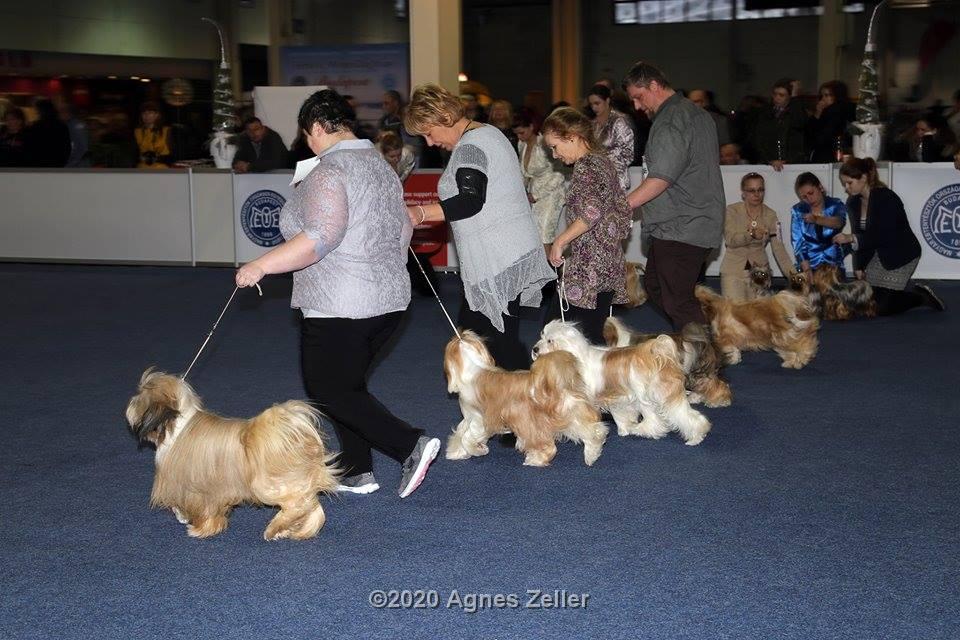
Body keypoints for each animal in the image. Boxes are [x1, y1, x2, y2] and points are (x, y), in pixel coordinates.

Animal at [125, 370, 340, 540]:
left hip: (269, 486)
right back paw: (298, 530)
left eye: (140, 397)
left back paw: (273, 529)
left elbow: (202, 510)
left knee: (300, 504)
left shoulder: (199, 488)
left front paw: (199, 529)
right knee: (313, 505)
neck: (176, 424)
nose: (131, 402)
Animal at [438, 330, 604, 464]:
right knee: (592, 430)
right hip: (569, 413)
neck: (474, 369)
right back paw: (592, 454)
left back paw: (535, 460)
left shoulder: (481, 419)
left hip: (535, 422)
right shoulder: (469, 418)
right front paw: (456, 453)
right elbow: (460, 433)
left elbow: (467, 438)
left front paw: (477, 450)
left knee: (548, 445)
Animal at [528, 320, 708, 444]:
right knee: (688, 414)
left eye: (550, 341)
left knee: (656, 419)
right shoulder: (618, 398)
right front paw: (623, 430)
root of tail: (657, 354)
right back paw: (697, 436)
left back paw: (644, 430)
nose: (535, 349)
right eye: (542, 337)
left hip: (647, 395)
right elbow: (620, 415)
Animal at [692, 286, 820, 370]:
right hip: (783, 338)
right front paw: (736, 359)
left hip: (783, 337)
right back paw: (791, 362)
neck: (714, 309)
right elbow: (736, 350)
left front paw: (733, 359)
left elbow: (731, 349)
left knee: (806, 344)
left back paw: (801, 359)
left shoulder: (725, 339)